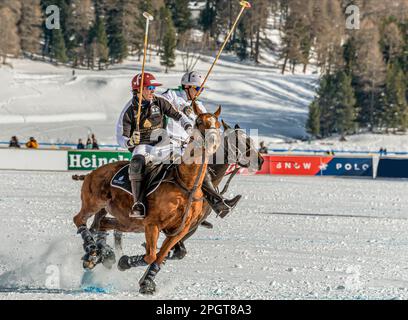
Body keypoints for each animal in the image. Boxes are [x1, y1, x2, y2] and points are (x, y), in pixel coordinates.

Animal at [71, 104, 222, 294]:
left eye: (217, 123)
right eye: (199, 121)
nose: (213, 141)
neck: (185, 184)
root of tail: (92, 173)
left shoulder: (178, 231)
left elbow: (160, 256)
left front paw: (147, 282)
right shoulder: (152, 224)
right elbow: (151, 255)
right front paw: (125, 262)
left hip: (128, 221)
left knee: (102, 223)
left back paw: (100, 254)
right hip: (93, 202)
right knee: (79, 219)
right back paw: (91, 250)